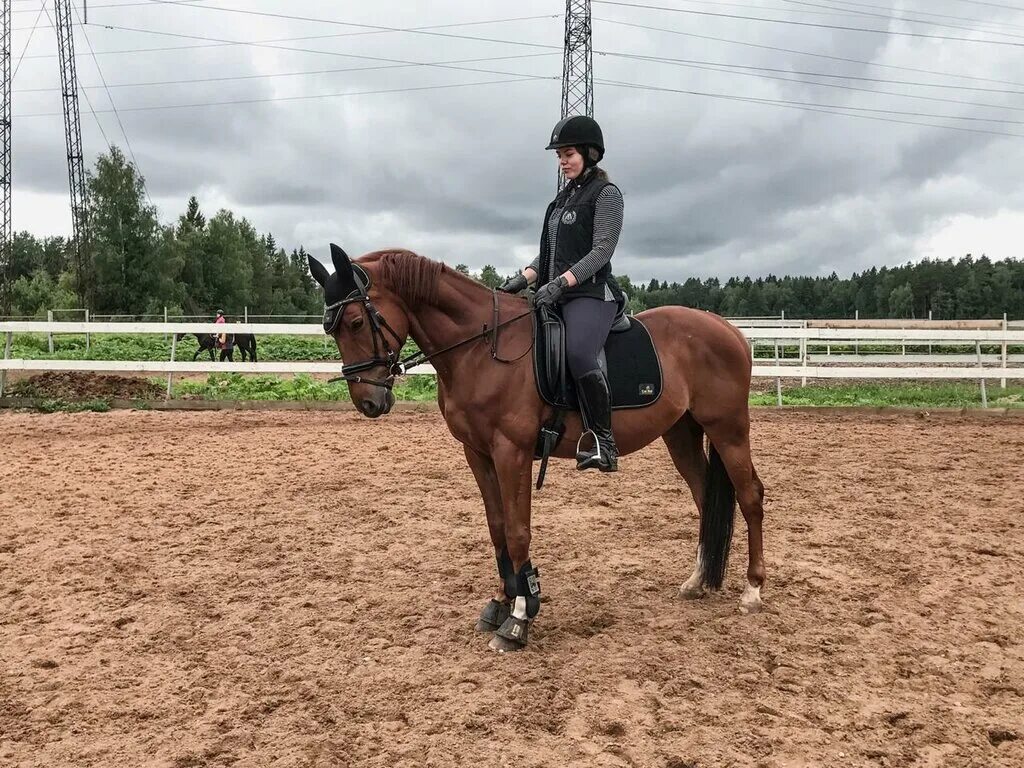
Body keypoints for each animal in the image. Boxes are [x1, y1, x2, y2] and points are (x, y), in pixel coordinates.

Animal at [307, 246, 765, 655]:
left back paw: (753, 590)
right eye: (331, 329)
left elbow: (517, 530)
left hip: (728, 429)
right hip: (681, 433)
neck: (480, 348)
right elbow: (497, 527)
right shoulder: (477, 453)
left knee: (749, 496)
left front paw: (519, 618)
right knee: (705, 497)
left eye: (354, 322)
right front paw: (502, 600)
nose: (369, 402)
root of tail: (729, 330)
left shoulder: (511, 451)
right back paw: (698, 581)